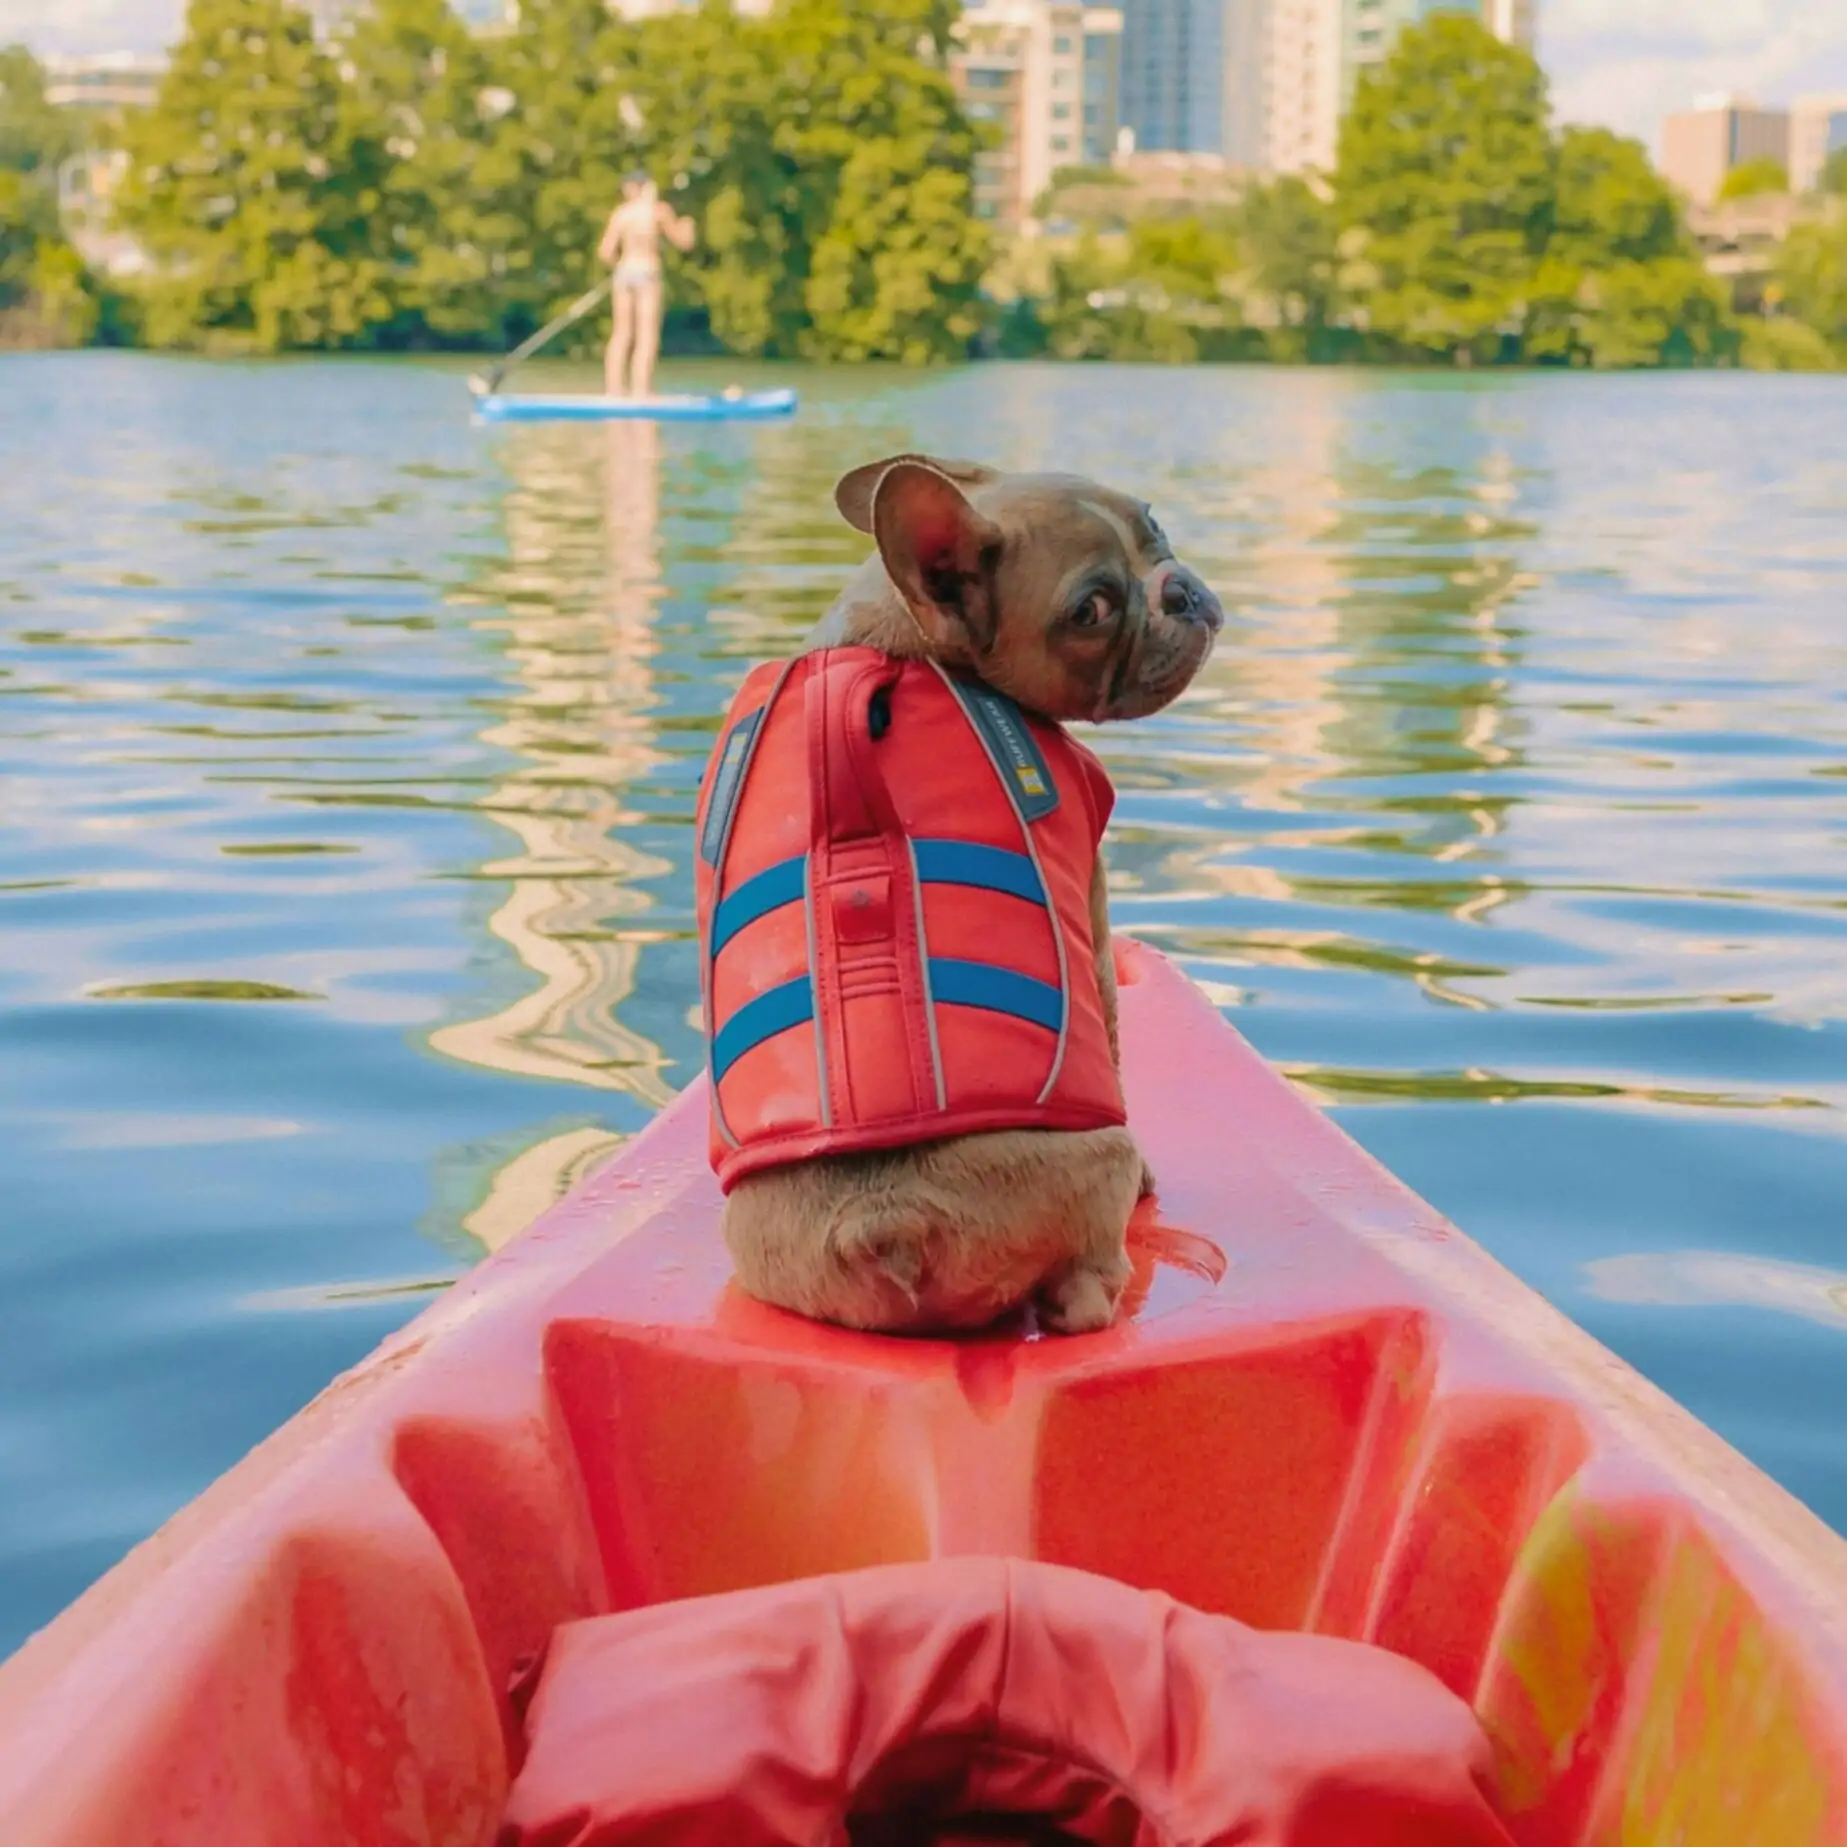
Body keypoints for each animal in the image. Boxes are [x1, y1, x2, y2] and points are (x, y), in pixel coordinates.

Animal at [694, 454, 1226, 1337]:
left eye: (1154, 526)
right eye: (1089, 611)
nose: (1177, 589)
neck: (901, 639)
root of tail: (886, 1221)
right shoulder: (1090, 901)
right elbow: (1114, 1032)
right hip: (1097, 1160)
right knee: (1082, 1291)